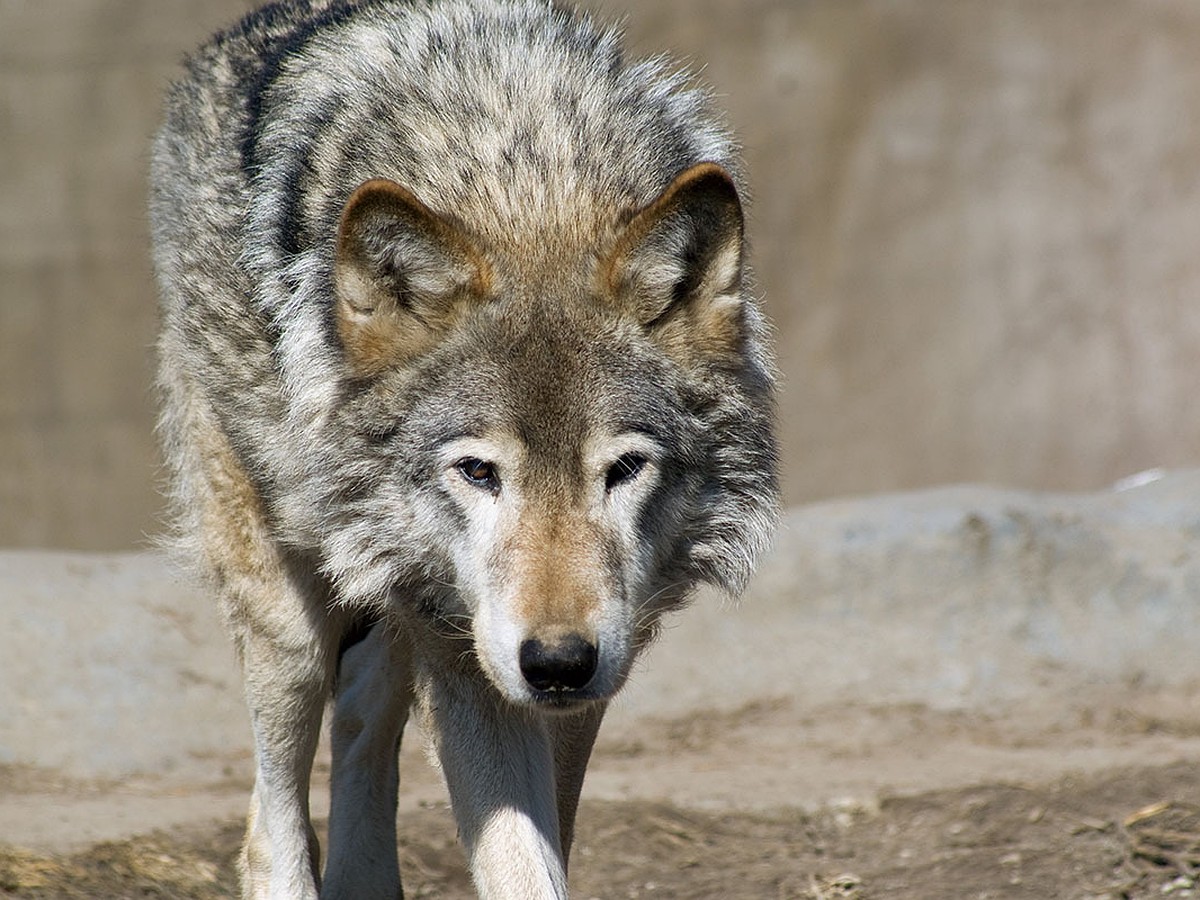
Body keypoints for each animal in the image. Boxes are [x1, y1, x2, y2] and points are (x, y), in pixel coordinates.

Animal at [150, 0, 777, 897]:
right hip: (291, 616)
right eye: (479, 472)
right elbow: (518, 864)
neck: (531, 191)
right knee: (269, 824)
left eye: (623, 469)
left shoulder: (588, 669)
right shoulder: (470, 659)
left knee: (364, 711)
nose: (557, 661)